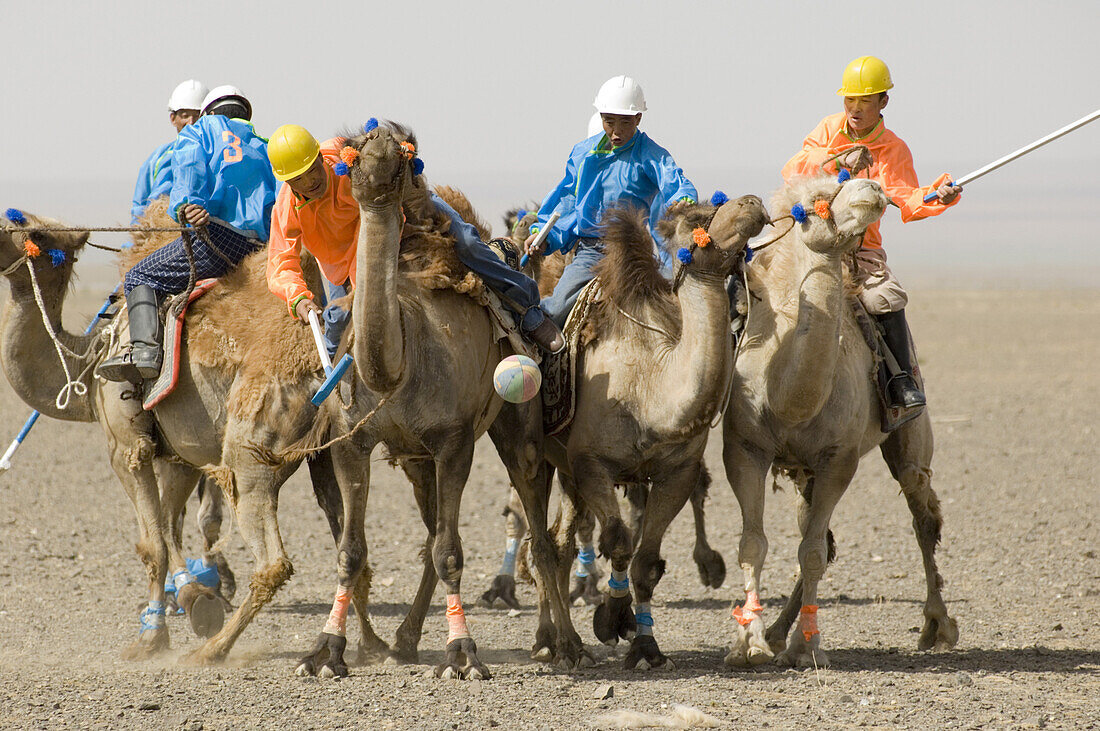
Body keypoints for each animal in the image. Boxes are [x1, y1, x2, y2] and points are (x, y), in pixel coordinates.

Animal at [0, 209, 369, 659]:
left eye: (24, 229)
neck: (91, 359)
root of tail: (324, 364)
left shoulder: (127, 448)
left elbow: (153, 544)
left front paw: (152, 637)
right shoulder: (180, 453)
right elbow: (168, 527)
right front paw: (195, 600)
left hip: (253, 452)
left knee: (273, 560)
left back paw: (213, 652)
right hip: (334, 449)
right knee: (351, 543)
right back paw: (371, 645)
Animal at [288, 120, 580, 677]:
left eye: (405, 154)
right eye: (353, 156)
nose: (381, 139)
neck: (398, 364)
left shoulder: (454, 442)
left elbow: (450, 551)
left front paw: (462, 654)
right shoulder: (351, 443)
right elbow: (351, 551)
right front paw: (326, 651)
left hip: (517, 427)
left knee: (538, 530)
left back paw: (565, 644)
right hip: (415, 458)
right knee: (429, 534)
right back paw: (404, 639)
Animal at [536, 195, 770, 668]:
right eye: (698, 218)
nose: (752, 202)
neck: (650, 386)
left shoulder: (676, 472)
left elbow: (646, 563)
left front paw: (645, 646)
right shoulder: (591, 464)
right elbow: (618, 543)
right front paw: (611, 619)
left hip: (566, 470)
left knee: (560, 541)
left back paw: (566, 642)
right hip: (548, 457)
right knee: (549, 541)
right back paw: (550, 642)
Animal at [721, 172, 954, 668]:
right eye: (817, 199)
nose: (871, 188)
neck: (788, 396)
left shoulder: (838, 459)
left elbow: (808, 552)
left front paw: (810, 648)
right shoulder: (745, 449)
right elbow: (754, 544)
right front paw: (748, 645)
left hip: (908, 437)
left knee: (921, 515)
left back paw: (937, 627)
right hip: (802, 472)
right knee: (821, 537)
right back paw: (776, 634)